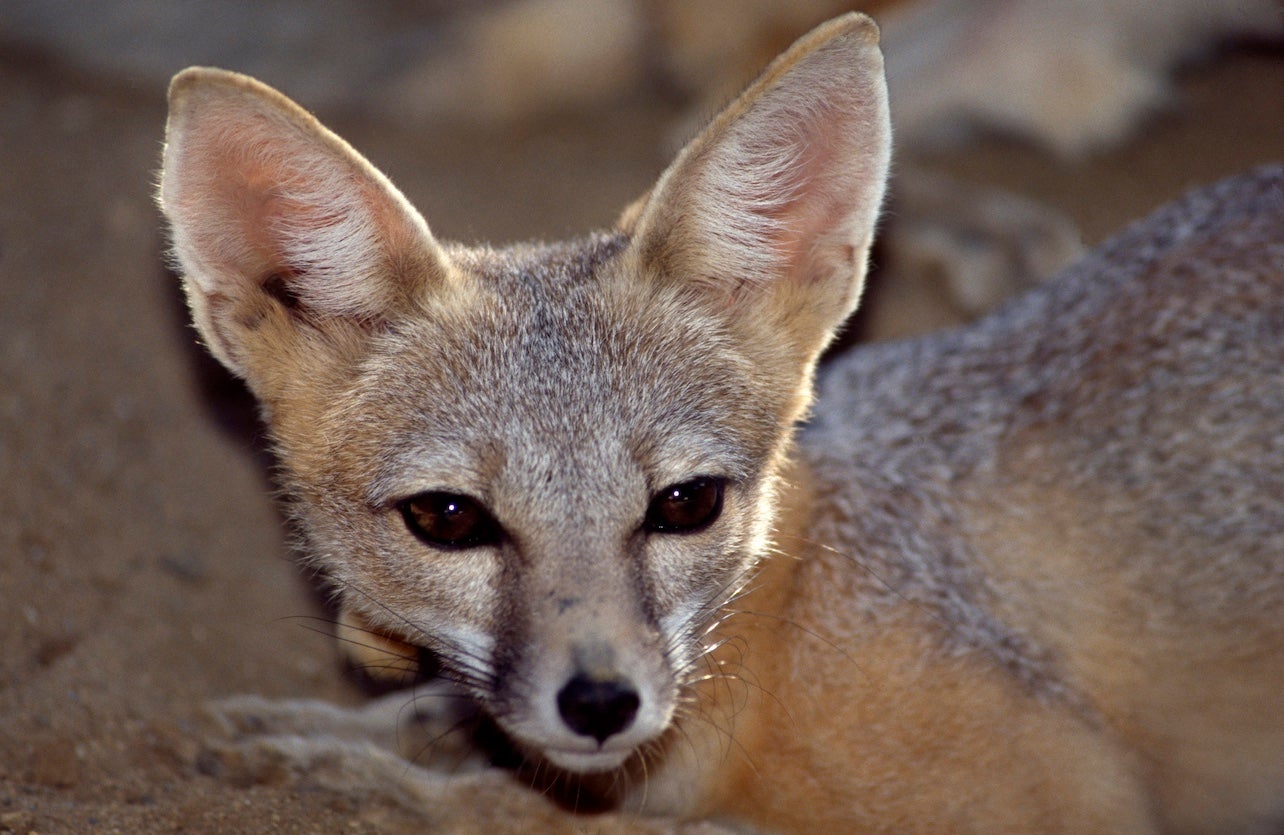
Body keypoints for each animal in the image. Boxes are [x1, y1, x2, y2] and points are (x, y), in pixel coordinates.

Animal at [158, 13, 1284, 834]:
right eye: (447, 519)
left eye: (685, 503)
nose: (600, 702)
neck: (777, 633)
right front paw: (356, 727)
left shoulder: (1063, 800)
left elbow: (590, 822)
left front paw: (378, 777)